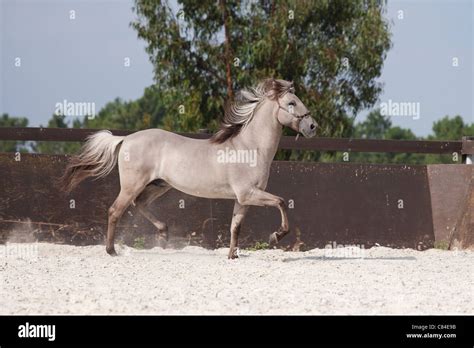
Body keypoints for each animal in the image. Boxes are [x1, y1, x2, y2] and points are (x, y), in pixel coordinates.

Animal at [60, 78, 318, 258]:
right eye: (291, 103)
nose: (313, 126)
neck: (249, 147)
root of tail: (125, 139)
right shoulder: (249, 193)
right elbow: (281, 202)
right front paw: (276, 236)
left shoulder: (243, 198)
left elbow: (235, 227)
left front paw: (232, 256)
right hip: (133, 185)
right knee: (115, 210)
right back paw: (112, 250)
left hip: (159, 185)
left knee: (139, 204)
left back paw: (163, 232)